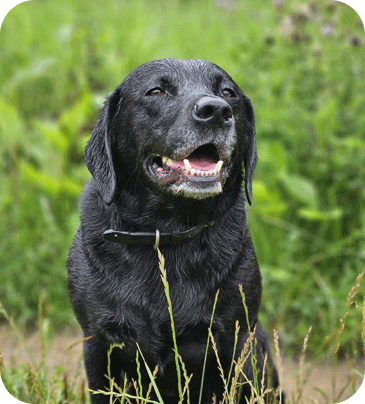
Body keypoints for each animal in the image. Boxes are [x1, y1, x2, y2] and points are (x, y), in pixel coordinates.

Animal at [68, 58, 282, 402]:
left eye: (228, 92)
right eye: (156, 91)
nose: (216, 111)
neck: (165, 233)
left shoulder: (237, 340)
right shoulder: (98, 343)